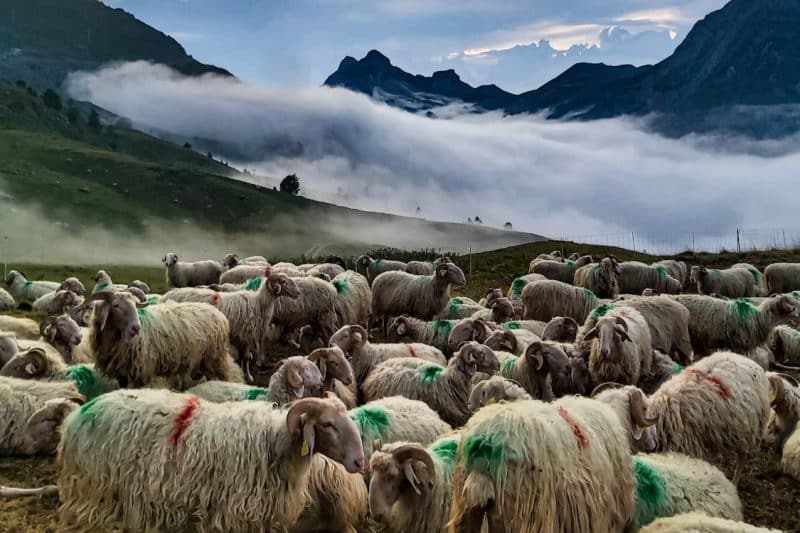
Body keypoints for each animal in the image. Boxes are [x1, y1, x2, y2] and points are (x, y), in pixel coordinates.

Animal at [87, 288, 239, 388]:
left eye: (135, 305)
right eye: (116, 305)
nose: (136, 327)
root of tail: (219, 314)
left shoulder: (143, 372)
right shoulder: (122, 374)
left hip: (215, 359)